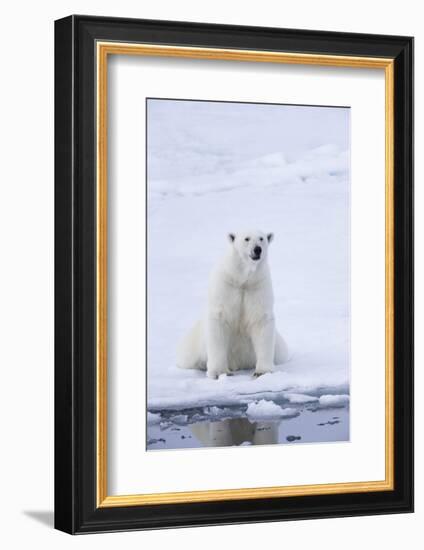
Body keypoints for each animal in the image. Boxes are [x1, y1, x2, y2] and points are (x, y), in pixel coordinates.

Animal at [176, 229, 288, 380]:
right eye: (247, 239)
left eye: (261, 238)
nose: (257, 249)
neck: (242, 279)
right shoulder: (226, 286)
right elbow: (219, 320)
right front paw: (220, 372)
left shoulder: (257, 286)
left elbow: (261, 320)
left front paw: (262, 372)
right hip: (193, 344)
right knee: (187, 357)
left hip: (278, 347)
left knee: (282, 353)